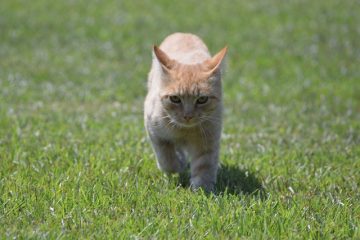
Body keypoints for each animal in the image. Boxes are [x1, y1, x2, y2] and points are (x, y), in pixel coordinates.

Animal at [144, 32, 226, 193]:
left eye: (202, 99)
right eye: (175, 98)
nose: (188, 116)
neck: (185, 131)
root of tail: (183, 34)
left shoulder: (208, 142)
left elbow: (204, 166)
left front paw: (202, 190)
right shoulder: (154, 130)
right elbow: (166, 157)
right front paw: (177, 165)